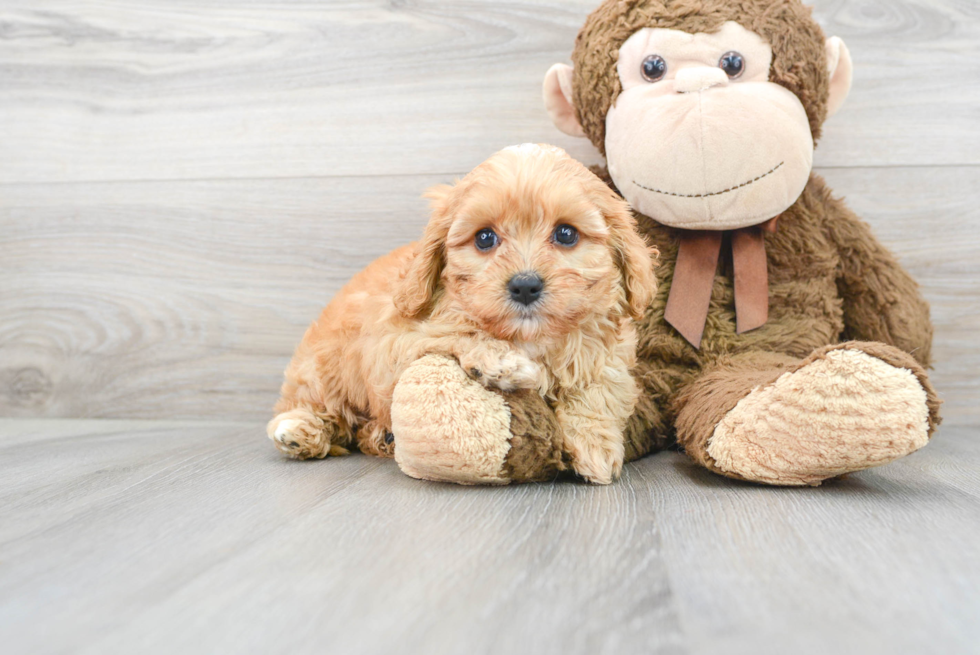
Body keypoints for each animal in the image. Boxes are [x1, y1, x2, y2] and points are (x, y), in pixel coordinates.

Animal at [266, 146, 660, 484]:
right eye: (484, 238)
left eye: (566, 234)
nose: (525, 286)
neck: (530, 338)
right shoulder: (393, 340)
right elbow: (454, 331)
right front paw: (503, 362)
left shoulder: (612, 351)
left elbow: (602, 385)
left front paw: (596, 446)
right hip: (323, 368)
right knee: (315, 405)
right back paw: (298, 431)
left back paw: (381, 436)